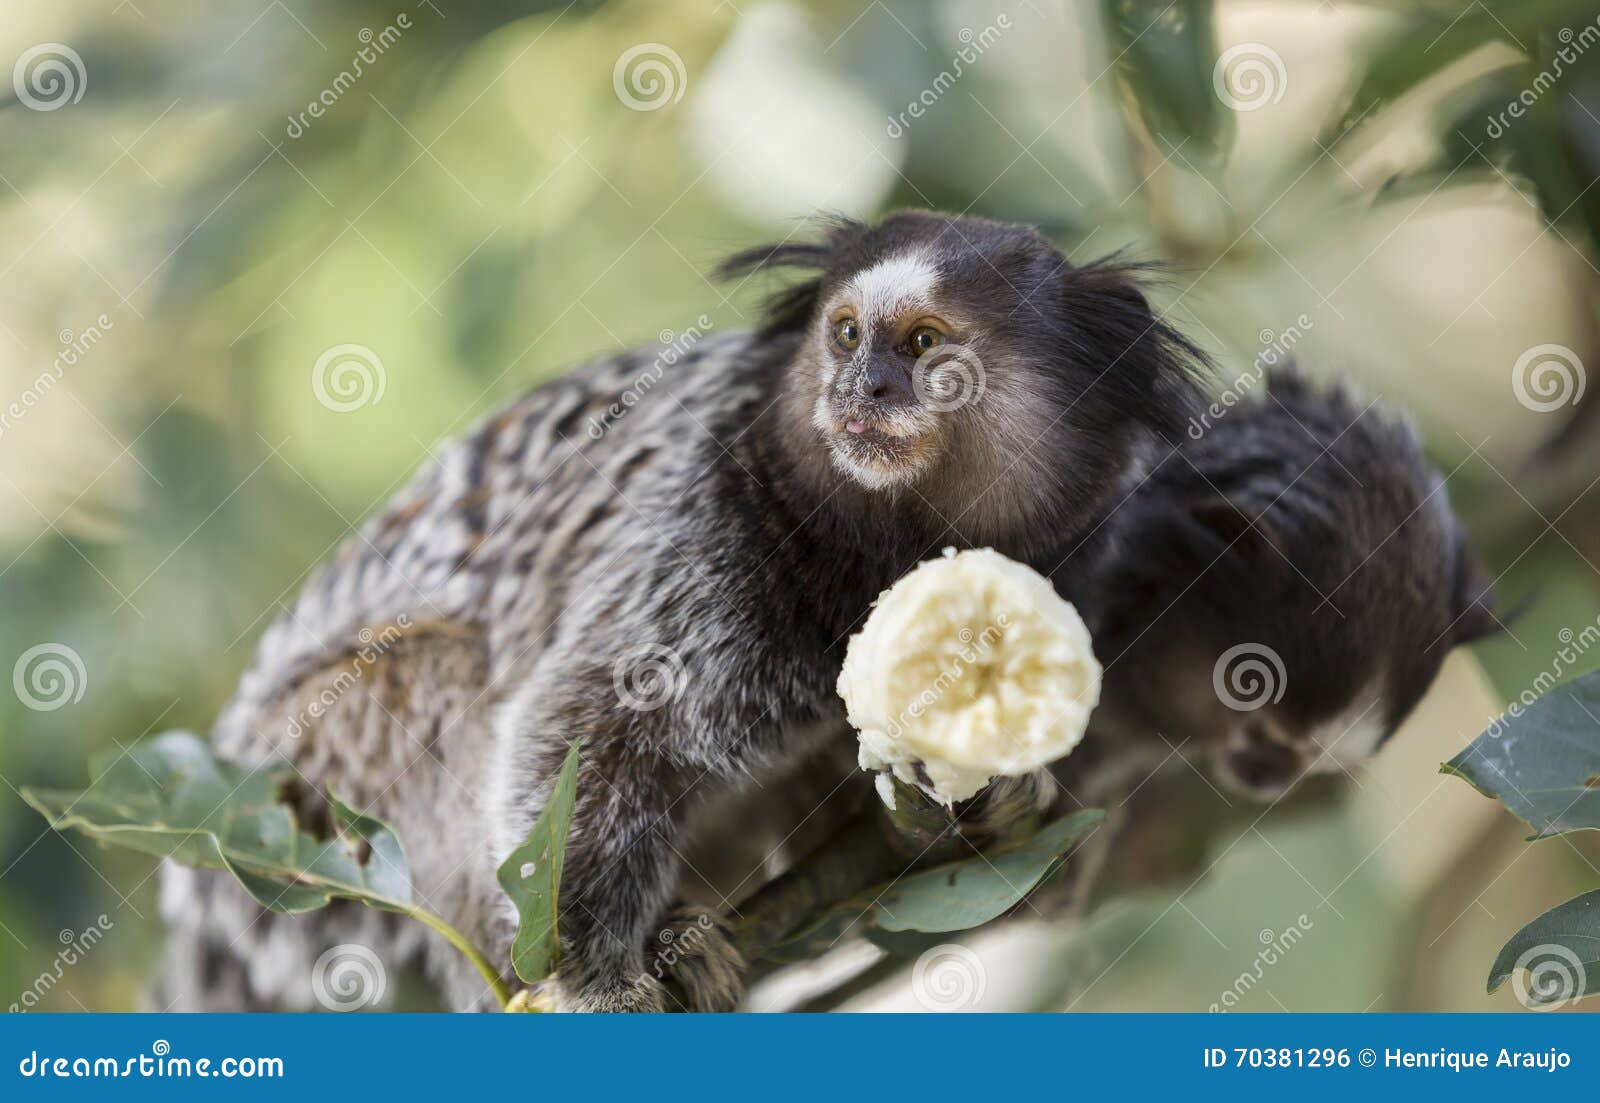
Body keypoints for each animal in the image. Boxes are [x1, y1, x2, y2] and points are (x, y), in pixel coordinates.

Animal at [165, 211, 1209, 1011]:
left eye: (922, 343)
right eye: (845, 334)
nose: (860, 388)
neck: (885, 543)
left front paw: (982, 800)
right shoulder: (701, 532)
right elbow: (593, 726)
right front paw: (593, 980)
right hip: (316, 772)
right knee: (432, 678)